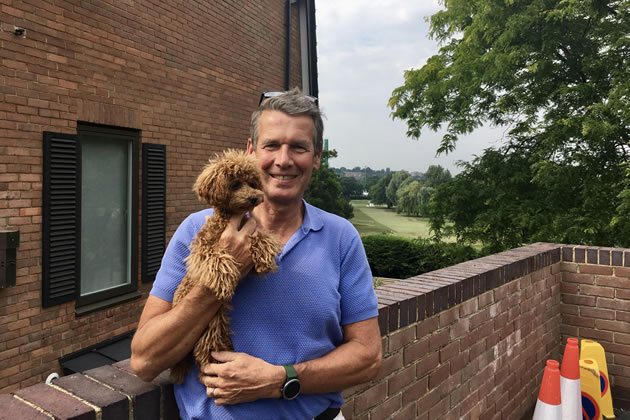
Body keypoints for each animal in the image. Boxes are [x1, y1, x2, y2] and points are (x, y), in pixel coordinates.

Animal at [172, 148, 282, 384]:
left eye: (252, 183)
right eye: (235, 184)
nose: (254, 197)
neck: (231, 219)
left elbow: (260, 237)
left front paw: (265, 254)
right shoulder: (202, 249)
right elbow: (216, 258)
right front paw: (224, 281)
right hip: (210, 325)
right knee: (204, 352)